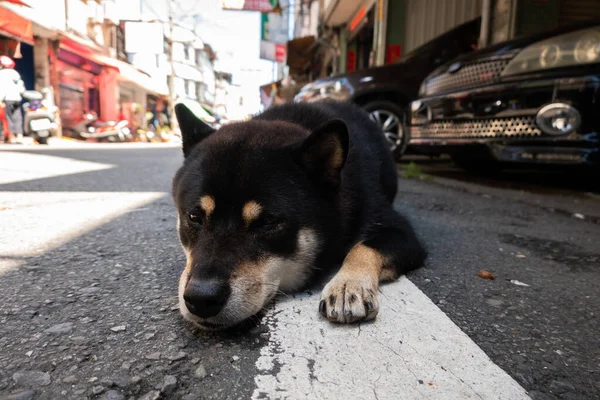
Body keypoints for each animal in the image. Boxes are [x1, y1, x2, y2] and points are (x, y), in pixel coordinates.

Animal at [173, 101, 426, 332]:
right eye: (194, 217)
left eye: (266, 222)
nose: (201, 299)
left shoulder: (400, 230)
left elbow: (363, 247)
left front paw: (348, 284)